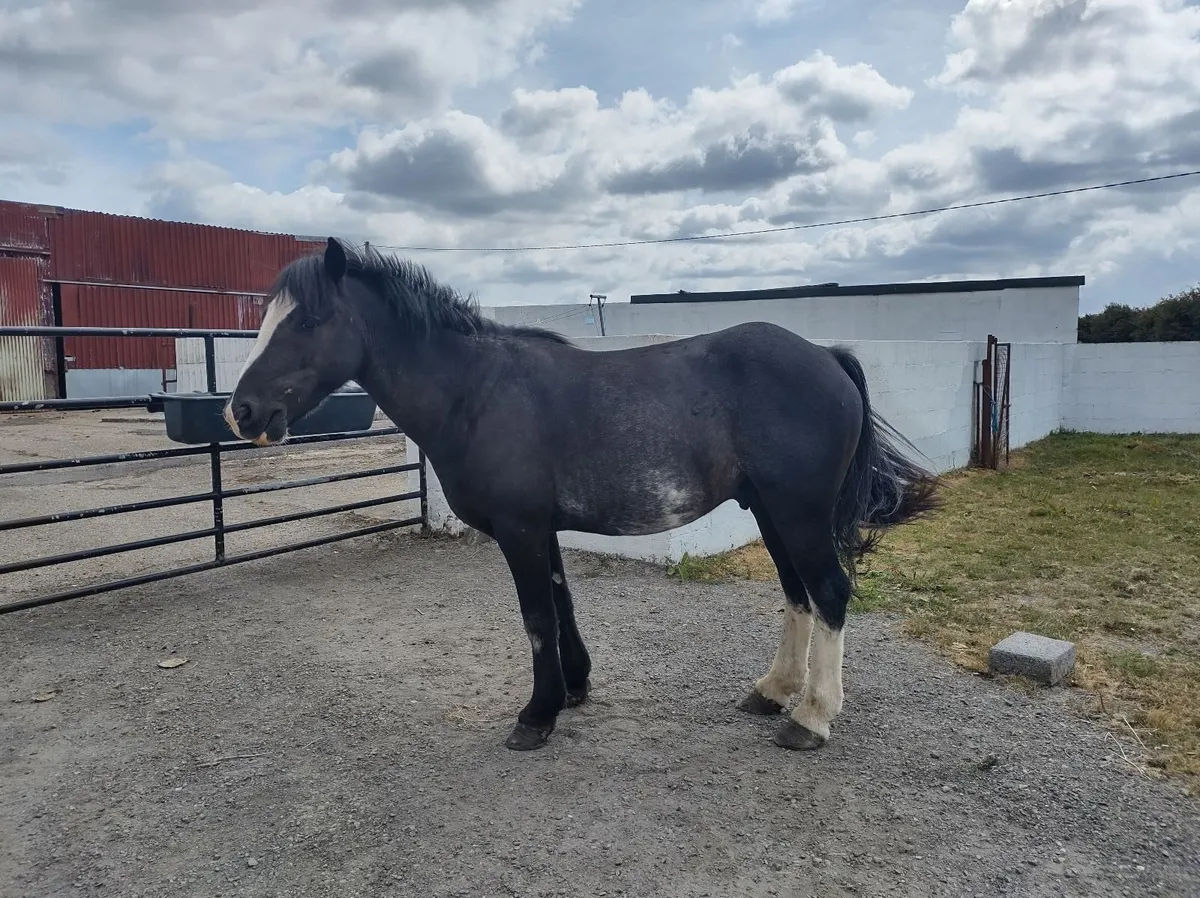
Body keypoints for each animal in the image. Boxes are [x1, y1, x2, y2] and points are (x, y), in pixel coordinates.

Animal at [225, 237, 940, 753]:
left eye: (310, 319)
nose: (243, 411)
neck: (477, 392)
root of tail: (825, 355)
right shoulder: (541, 528)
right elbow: (561, 605)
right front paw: (574, 688)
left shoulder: (519, 529)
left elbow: (537, 618)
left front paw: (536, 716)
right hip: (771, 511)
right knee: (798, 595)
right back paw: (773, 691)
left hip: (799, 512)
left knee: (830, 594)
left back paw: (812, 718)